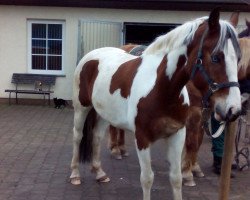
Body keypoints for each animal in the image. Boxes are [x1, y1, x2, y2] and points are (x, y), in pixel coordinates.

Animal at [69, 9, 241, 200]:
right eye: (216, 58)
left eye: (238, 58)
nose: (233, 110)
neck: (161, 88)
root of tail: (91, 55)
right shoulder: (142, 138)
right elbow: (147, 178)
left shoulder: (177, 135)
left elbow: (176, 178)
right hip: (81, 108)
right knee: (77, 136)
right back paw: (75, 174)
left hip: (104, 114)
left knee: (97, 137)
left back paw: (100, 173)